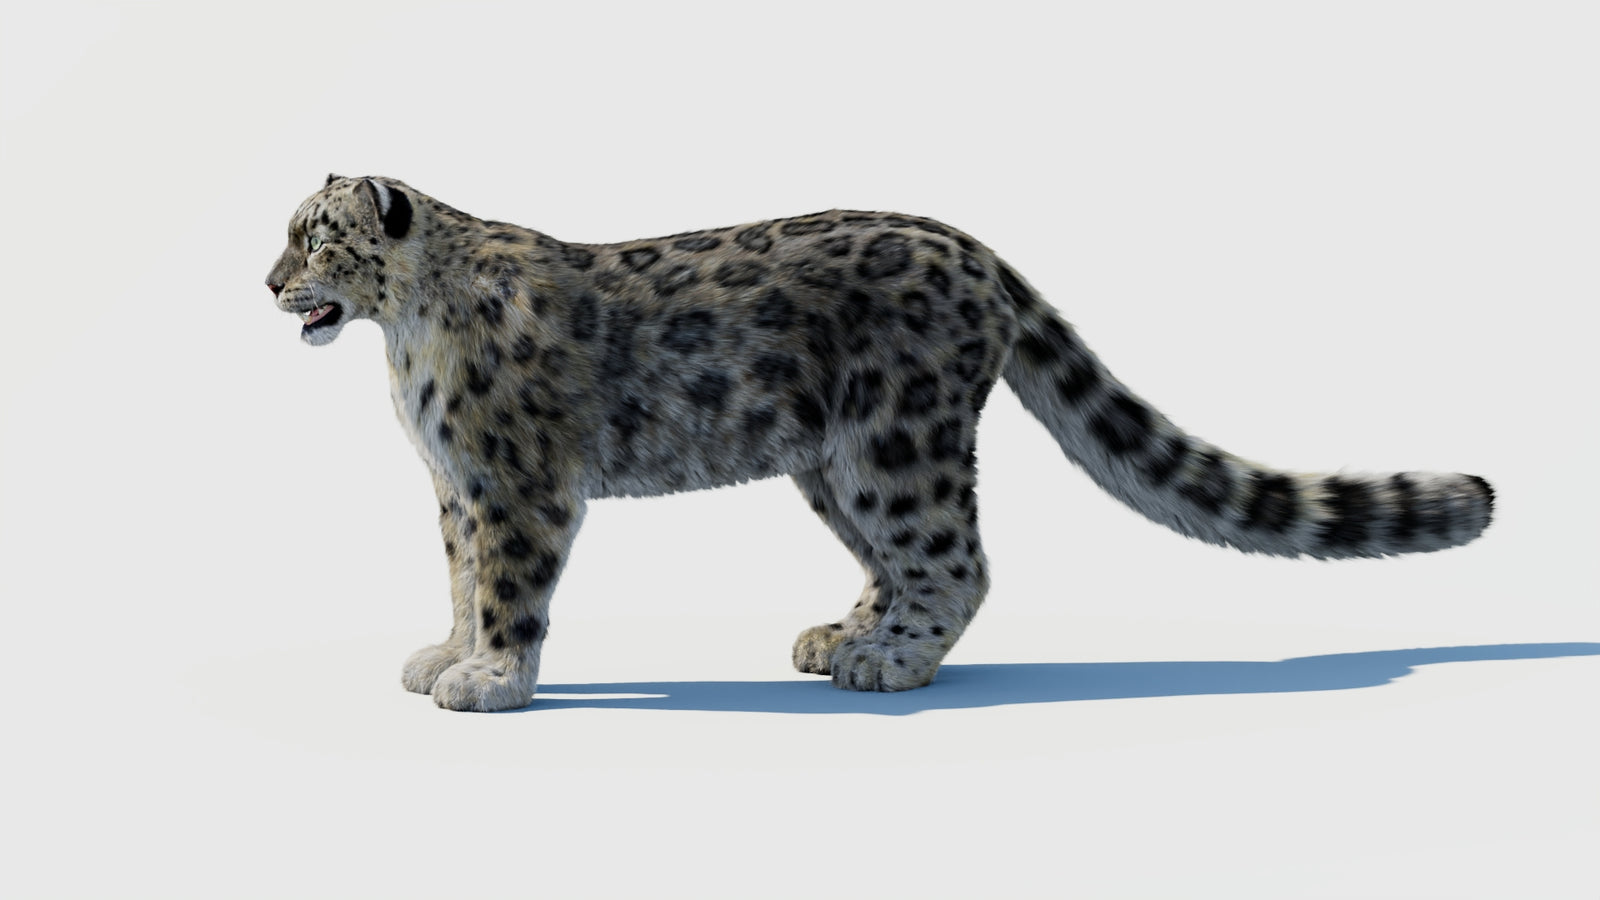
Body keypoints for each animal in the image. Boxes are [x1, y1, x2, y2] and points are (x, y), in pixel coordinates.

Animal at [265, 174, 1494, 712]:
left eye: (317, 238)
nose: (270, 285)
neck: (403, 343)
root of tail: (976, 249)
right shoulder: (455, 486)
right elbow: (462, 576)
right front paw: (446, 652)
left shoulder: (516, 483)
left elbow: (509, 585)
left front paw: (489, 679)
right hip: (831, 464)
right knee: (897, 563)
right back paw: (846, 635)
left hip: (894, 444)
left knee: (957, 557)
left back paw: (888, 663)